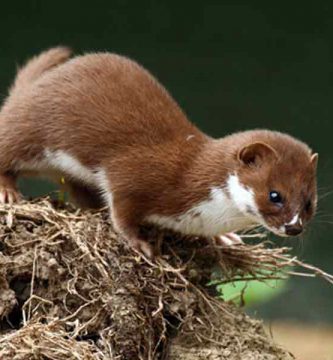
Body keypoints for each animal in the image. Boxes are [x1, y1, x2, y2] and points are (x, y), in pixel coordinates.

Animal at [0, 47, 316, 256]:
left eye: (309, 202)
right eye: (275, 195)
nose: (294, 227)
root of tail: (32, 87)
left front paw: (225, 238)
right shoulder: (134, 173)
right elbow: (121, 211)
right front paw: (139, 243)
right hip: (28, 128)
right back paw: (9, 192)